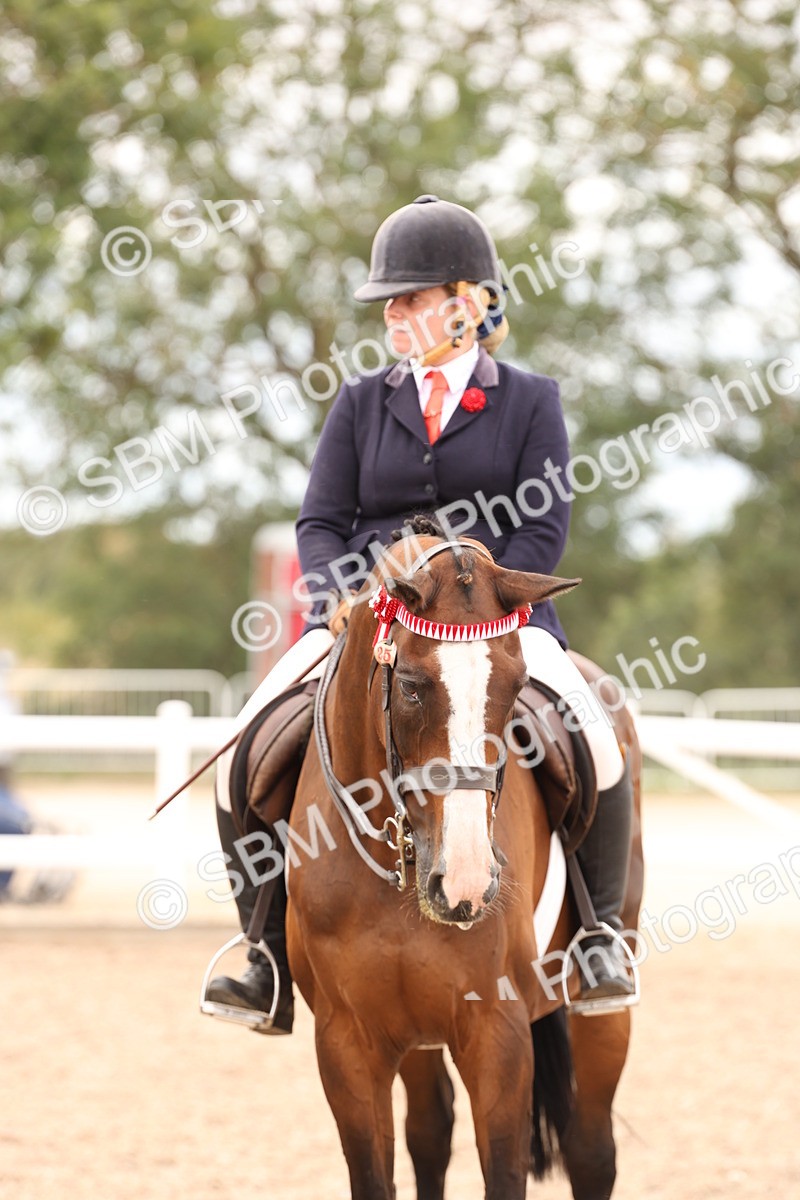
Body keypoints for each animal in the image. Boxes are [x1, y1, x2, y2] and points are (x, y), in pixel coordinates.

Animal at [270, 532, 642, 1200]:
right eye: (413, 686)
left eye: (516, 687)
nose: (466, 884)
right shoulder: (346, 1042)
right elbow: (376, 1173)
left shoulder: (498, 1035)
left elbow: (506, 1170)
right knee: (430, 1131)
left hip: (601, 1006)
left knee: (591, 1150)